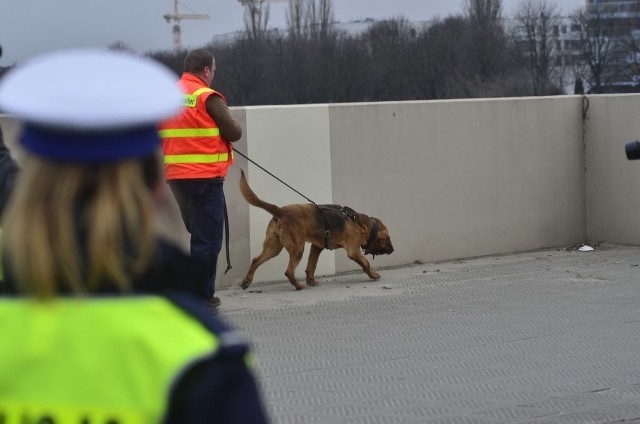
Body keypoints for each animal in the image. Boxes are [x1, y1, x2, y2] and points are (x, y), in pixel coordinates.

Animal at [238, 171, 392, 290]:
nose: (393, 250)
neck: (360, 223)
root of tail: (280, 211)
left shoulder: (316, 247)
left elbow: (311, 266)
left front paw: (311, 281)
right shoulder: (353, 251)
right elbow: (366, 263)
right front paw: (373, 275)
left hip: (273, 248)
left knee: (256, 260)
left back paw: (247, 281)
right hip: (297, 248)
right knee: (289, 271)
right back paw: (298, 286)